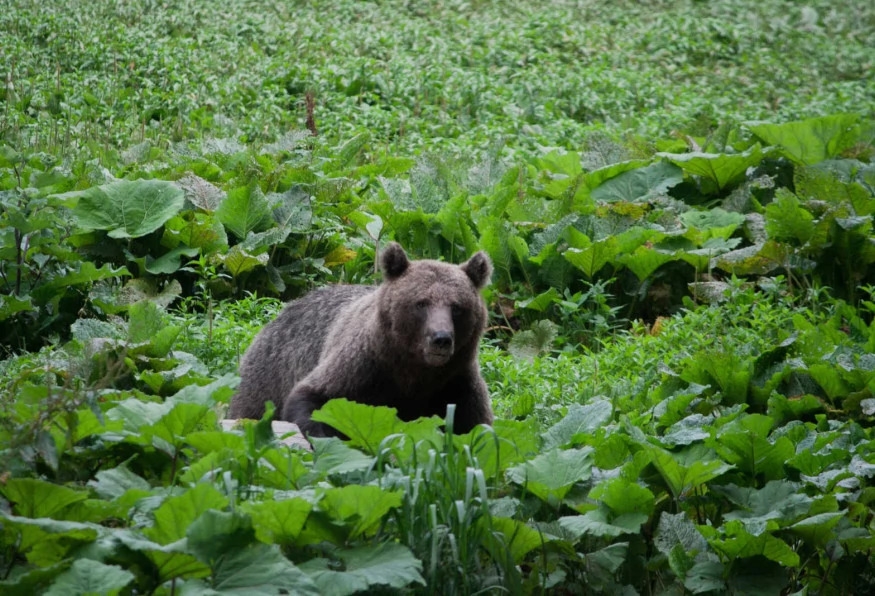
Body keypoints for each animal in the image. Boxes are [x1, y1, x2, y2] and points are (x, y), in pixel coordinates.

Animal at [228, 242, 494, 438]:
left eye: (457, 307)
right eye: (421, 303)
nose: (441, 339)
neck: (413, 373)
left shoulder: (455, 385)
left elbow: (477, 429)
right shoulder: (363, 368)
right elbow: (312, 399)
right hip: (268, 375)